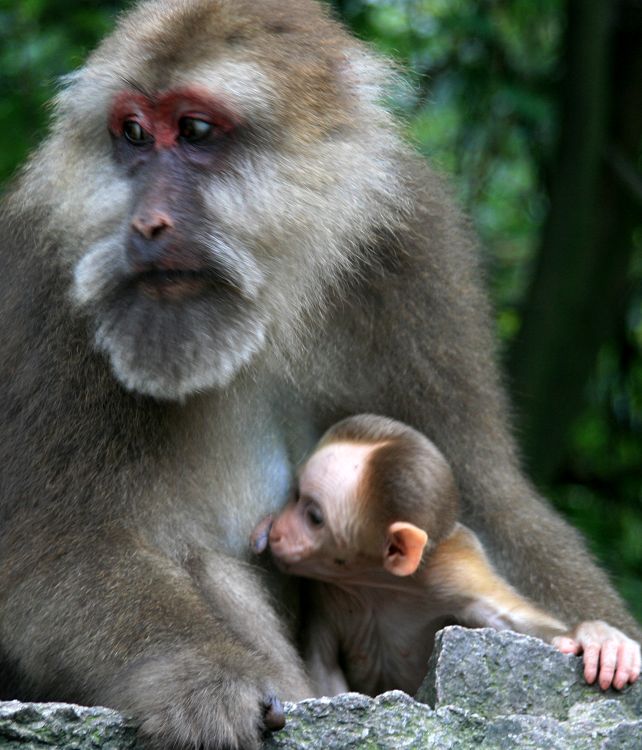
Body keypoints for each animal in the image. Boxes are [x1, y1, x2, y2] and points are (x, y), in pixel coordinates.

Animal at [252, 414, 636, 696]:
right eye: (294, 495)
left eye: (313, 517)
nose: (277, 529)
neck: (376, 582)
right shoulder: (326, 593)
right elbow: (323, 670)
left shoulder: (453, 569)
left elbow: (510, 619)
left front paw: (598, 639)